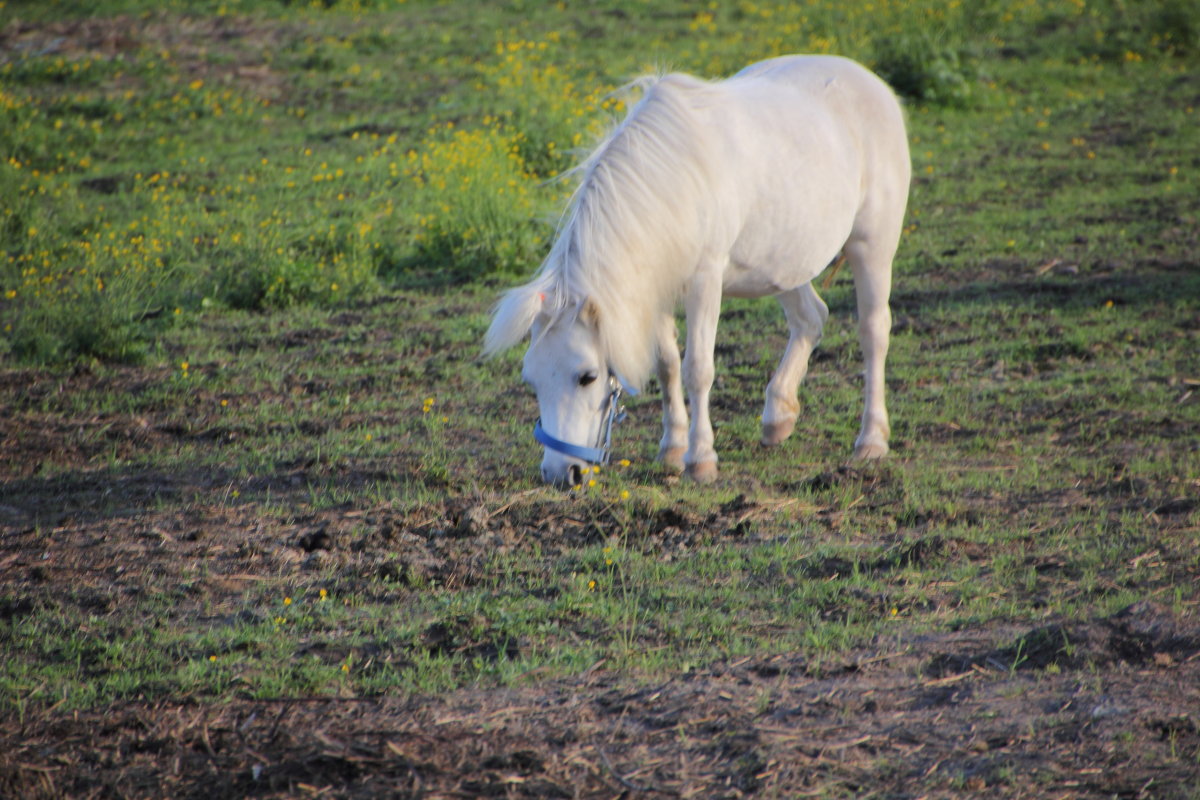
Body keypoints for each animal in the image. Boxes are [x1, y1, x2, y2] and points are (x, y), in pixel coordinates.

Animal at [484, 54, 907, 489]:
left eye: (587, 376)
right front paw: (672, 449)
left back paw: (871, 440)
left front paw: (700, 459)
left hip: (872, 245)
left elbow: (697, 369)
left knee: (874, 332)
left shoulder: (705, 282)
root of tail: (867, 79)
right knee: (811, 318)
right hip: (783, 262)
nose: (558, 473)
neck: (667, 181)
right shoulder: (656, 285)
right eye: (531, 379)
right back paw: (778, 416)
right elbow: (667, 366)